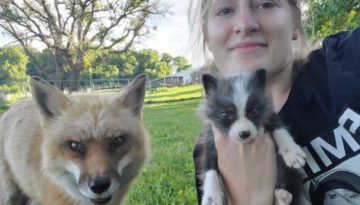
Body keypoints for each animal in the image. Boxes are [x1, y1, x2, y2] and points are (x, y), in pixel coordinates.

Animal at [195, 69, 306, 205]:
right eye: (224, 114)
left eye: (253, 111)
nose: (244, 133)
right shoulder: (209, 141)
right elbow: (208, 166)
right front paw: (211, 196)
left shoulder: (267, 113)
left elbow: (278, 127)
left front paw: (291, 151)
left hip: (290, 174)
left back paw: (283, 196)